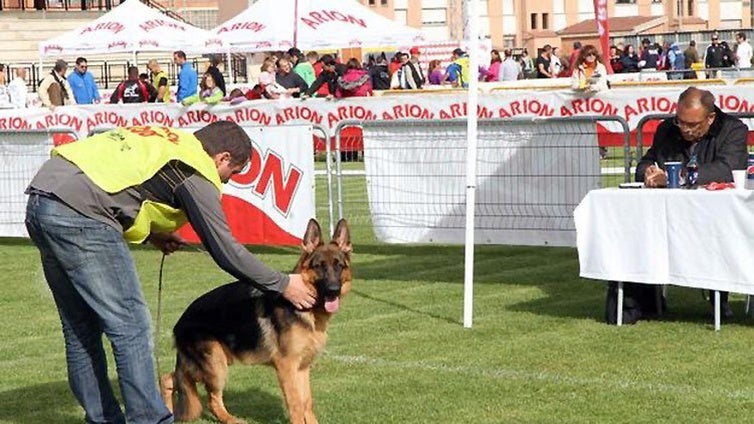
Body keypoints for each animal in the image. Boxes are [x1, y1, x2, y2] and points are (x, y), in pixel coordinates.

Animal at [162, 219, 350, 424]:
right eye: (319, 266)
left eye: (339, 266)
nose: (333, 290)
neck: (306, 310)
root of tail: (179, 323)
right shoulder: (287, 367)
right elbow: (296, 405)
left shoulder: (302, 367)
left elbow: (307, 402)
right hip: (215, 365)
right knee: (211, 399)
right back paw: (231, 419)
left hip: (207, 364)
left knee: (168, 379)